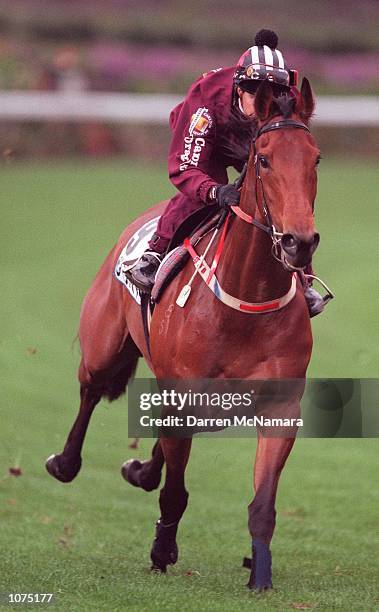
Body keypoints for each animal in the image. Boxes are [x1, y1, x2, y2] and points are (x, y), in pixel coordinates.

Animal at [46, 77, 322, 592]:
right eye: (264, 159)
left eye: (315, 158)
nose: (299, 241)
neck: (245, 297)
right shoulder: (182, 393)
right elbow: (175, 493)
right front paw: (162, 551)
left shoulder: (280, 407)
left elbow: (263, 504)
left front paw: (260, 574)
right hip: (103, 346)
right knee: (91, 389)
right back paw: (66, 462)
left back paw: (141, 469)